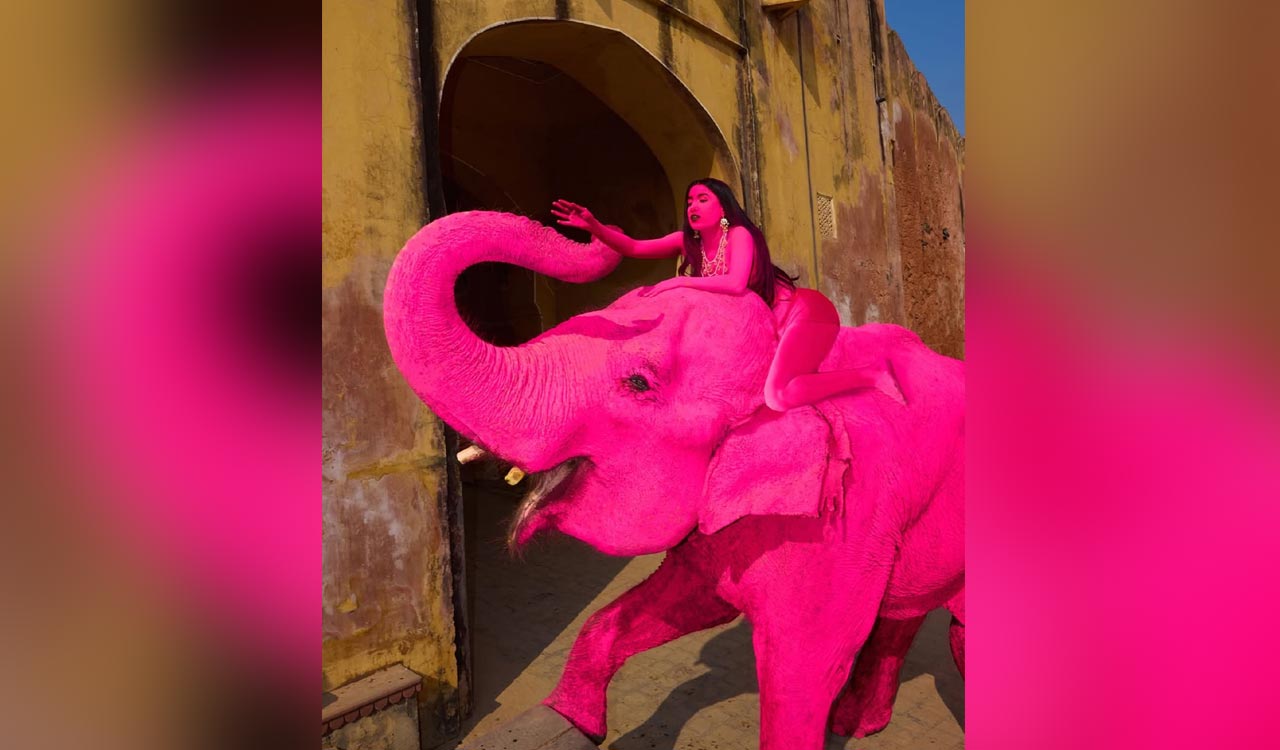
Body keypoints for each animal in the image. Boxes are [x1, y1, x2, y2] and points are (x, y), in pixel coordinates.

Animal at [383, 211, 965, 749]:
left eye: (638, 382)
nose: (581, 224)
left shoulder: (842, 519)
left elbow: (804, 670)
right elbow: (668, 604)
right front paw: (569, 724)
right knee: (905, 615)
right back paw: (860, 724)